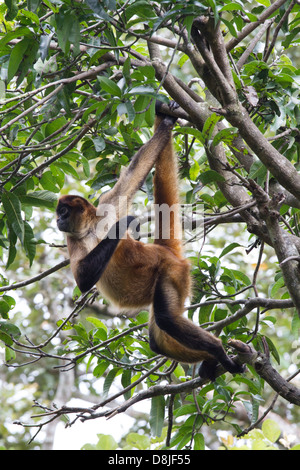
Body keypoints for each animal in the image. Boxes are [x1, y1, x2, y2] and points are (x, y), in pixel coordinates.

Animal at [56, 101, 244, 380]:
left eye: (64, 212)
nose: (57, 220)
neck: (92, 228)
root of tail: (163, 250)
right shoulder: (74, 237)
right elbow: (82, 279)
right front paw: (124, 225)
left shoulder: (107, 206)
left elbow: (134, 174)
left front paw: (165, 123)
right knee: (159, 335)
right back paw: (213, 358)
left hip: (171, 271)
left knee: (166, 320)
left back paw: (218, 350)